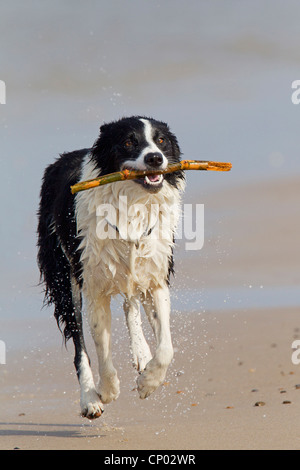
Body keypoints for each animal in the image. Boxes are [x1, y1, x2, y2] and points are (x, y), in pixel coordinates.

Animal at [37, 114, 185, 418]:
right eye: (129, 142)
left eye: (161, 140)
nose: (155, 158)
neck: (133, 203)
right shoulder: (93, 286)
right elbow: (100, 348)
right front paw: (106, 392)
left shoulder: (156, 278)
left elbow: (166, 347)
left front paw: (148, 381)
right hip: (64, 277)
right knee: (79, 343)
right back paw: (89, 399)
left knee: (131, 304)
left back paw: (141, 353)